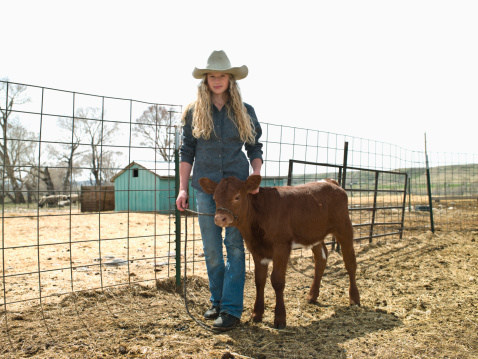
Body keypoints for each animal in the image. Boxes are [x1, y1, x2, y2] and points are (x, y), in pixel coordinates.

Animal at [198, 174, 358, 330]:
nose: (220, 218)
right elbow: (259, 280)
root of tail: (330, 181)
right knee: (321, 259)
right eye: (214, 198)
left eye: (237, 196)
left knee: (350, 262)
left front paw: (280, 318)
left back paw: (354, 298)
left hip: (344, 226)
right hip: (314, 234)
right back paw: (312, 296)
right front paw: (257, 313)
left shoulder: (281, 247)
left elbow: (277, 281)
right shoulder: (256, 250)